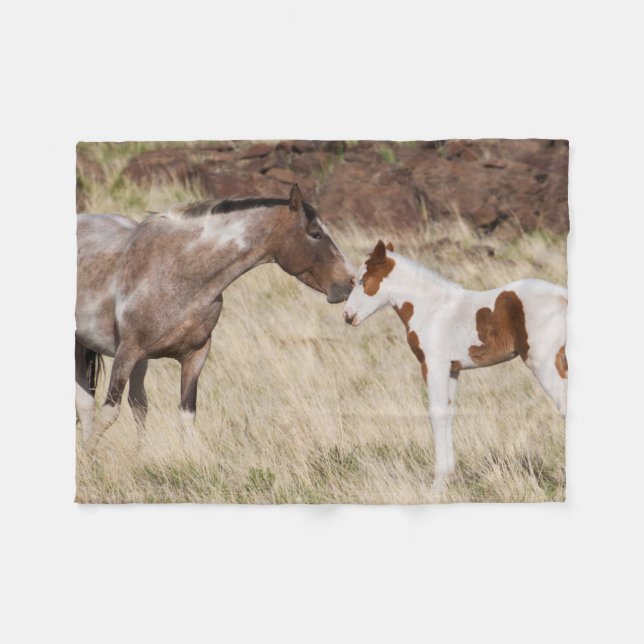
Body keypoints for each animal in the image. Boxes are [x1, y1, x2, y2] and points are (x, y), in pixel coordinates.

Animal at [76, 184, 354, 453]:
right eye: (315, 233)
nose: (350, 281)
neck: (179, 272)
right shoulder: (127, 353)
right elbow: (108, 413)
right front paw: (89, 458)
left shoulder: (194, 356)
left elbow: (186, 415)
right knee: (88, 404)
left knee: (133, 405)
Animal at [342, 240, 567, 491]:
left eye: (362, 281)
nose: (347, 315)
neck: (431, 308)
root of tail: (562, 295)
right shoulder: (452, 369)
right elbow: (448, 414)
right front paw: (448, 476)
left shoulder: (434, 364)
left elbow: (436, 413)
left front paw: (438, 484)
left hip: (544, 362)